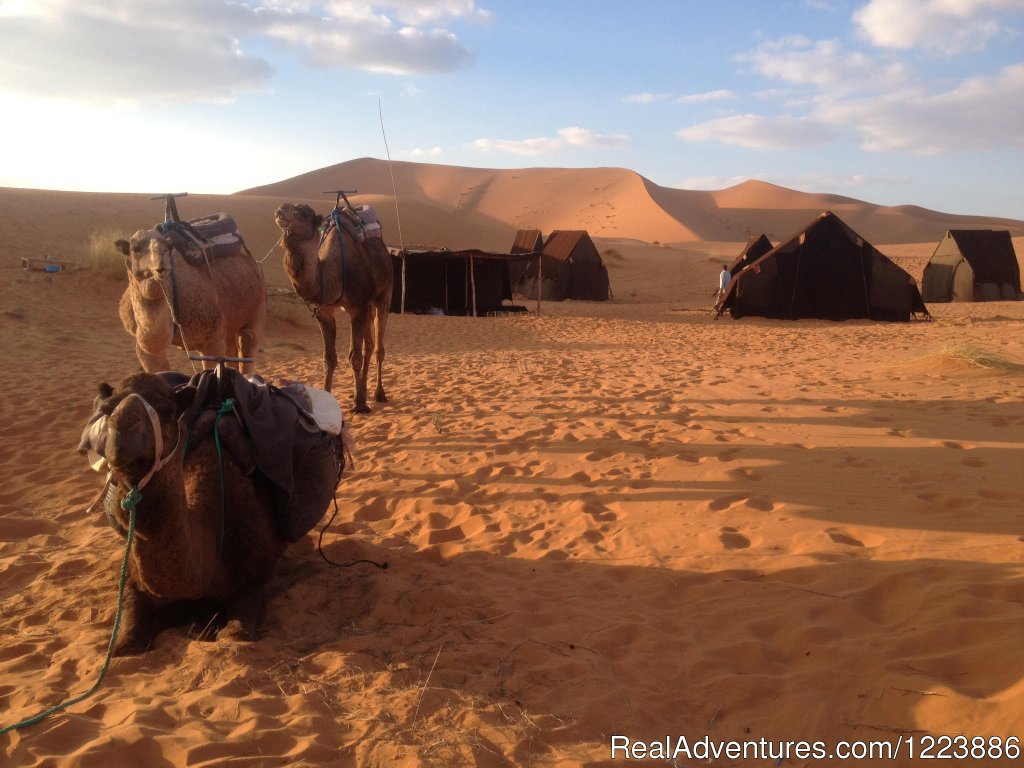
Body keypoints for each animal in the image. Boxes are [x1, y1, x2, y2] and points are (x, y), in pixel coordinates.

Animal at [76, 372, 331, 655]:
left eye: (168, 411)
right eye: (106, 409)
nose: (123, 435)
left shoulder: (252, 579)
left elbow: (236, 633)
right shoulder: (134, 582)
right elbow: (123, 644)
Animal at [116, 231, 268, 376]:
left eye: (169, 247)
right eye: (135, 249)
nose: (161, 262)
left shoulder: (213, 338)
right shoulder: (147, 351)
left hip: (258, 302)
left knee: (248, 339)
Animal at [272, 201, 391, 411]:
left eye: (304, 213)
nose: (281, 210)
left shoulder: (358, 306)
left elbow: (354, 357)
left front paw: (360, 406)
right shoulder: (325, 311)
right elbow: (329, 359)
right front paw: (330, 396)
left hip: (382, 296)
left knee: (378, 348)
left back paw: (378, 393)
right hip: (367, 305)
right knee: (368, 346)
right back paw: (360, 390)